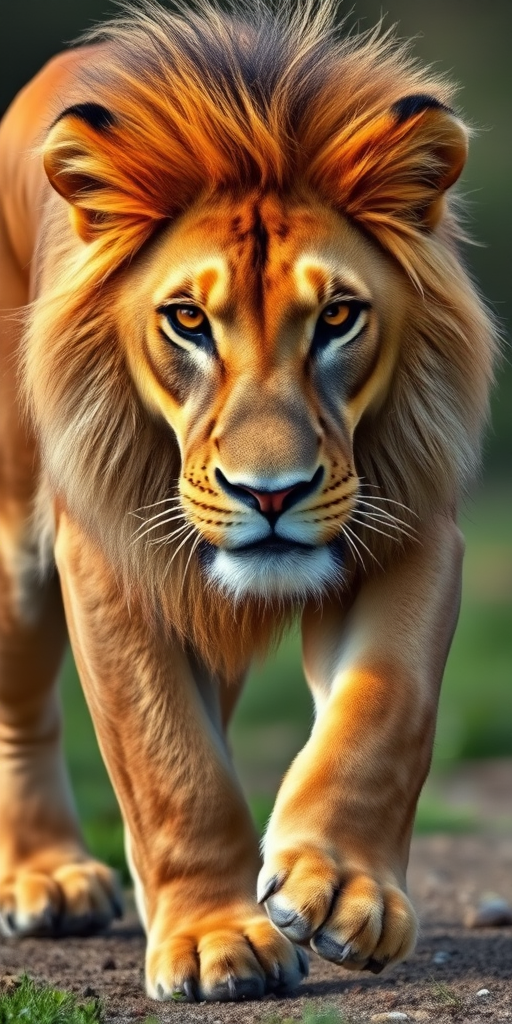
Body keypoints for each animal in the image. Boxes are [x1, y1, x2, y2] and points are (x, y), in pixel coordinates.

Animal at [0, 0, 496, 1004]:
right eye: (188, 320)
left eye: (338, 316)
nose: (272, 496)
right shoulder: (107, 555)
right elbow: (168, 760)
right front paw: (212, 939)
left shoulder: (412, 526)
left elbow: (386, 705)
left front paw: (340, 888)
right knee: (25, 706)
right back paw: (48, 878)